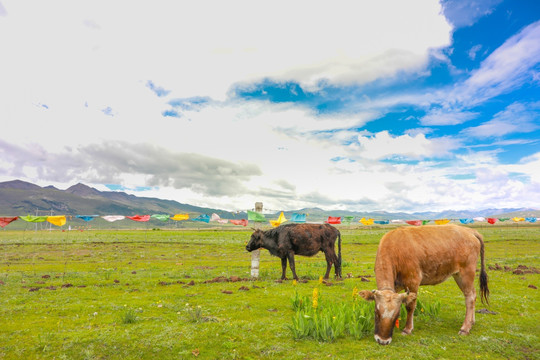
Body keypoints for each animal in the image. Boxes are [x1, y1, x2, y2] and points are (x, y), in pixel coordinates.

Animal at [358, 225, 490, 346]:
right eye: (376, 312)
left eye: (397, 314)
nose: (383, 340)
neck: (395, 248)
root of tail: (469, 230)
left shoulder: (413, 281)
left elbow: (410, 306)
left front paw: (407, 329)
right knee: (472, 295)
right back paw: (472, 322)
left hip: (466, 273)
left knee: (470, 297)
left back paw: (465, 327)